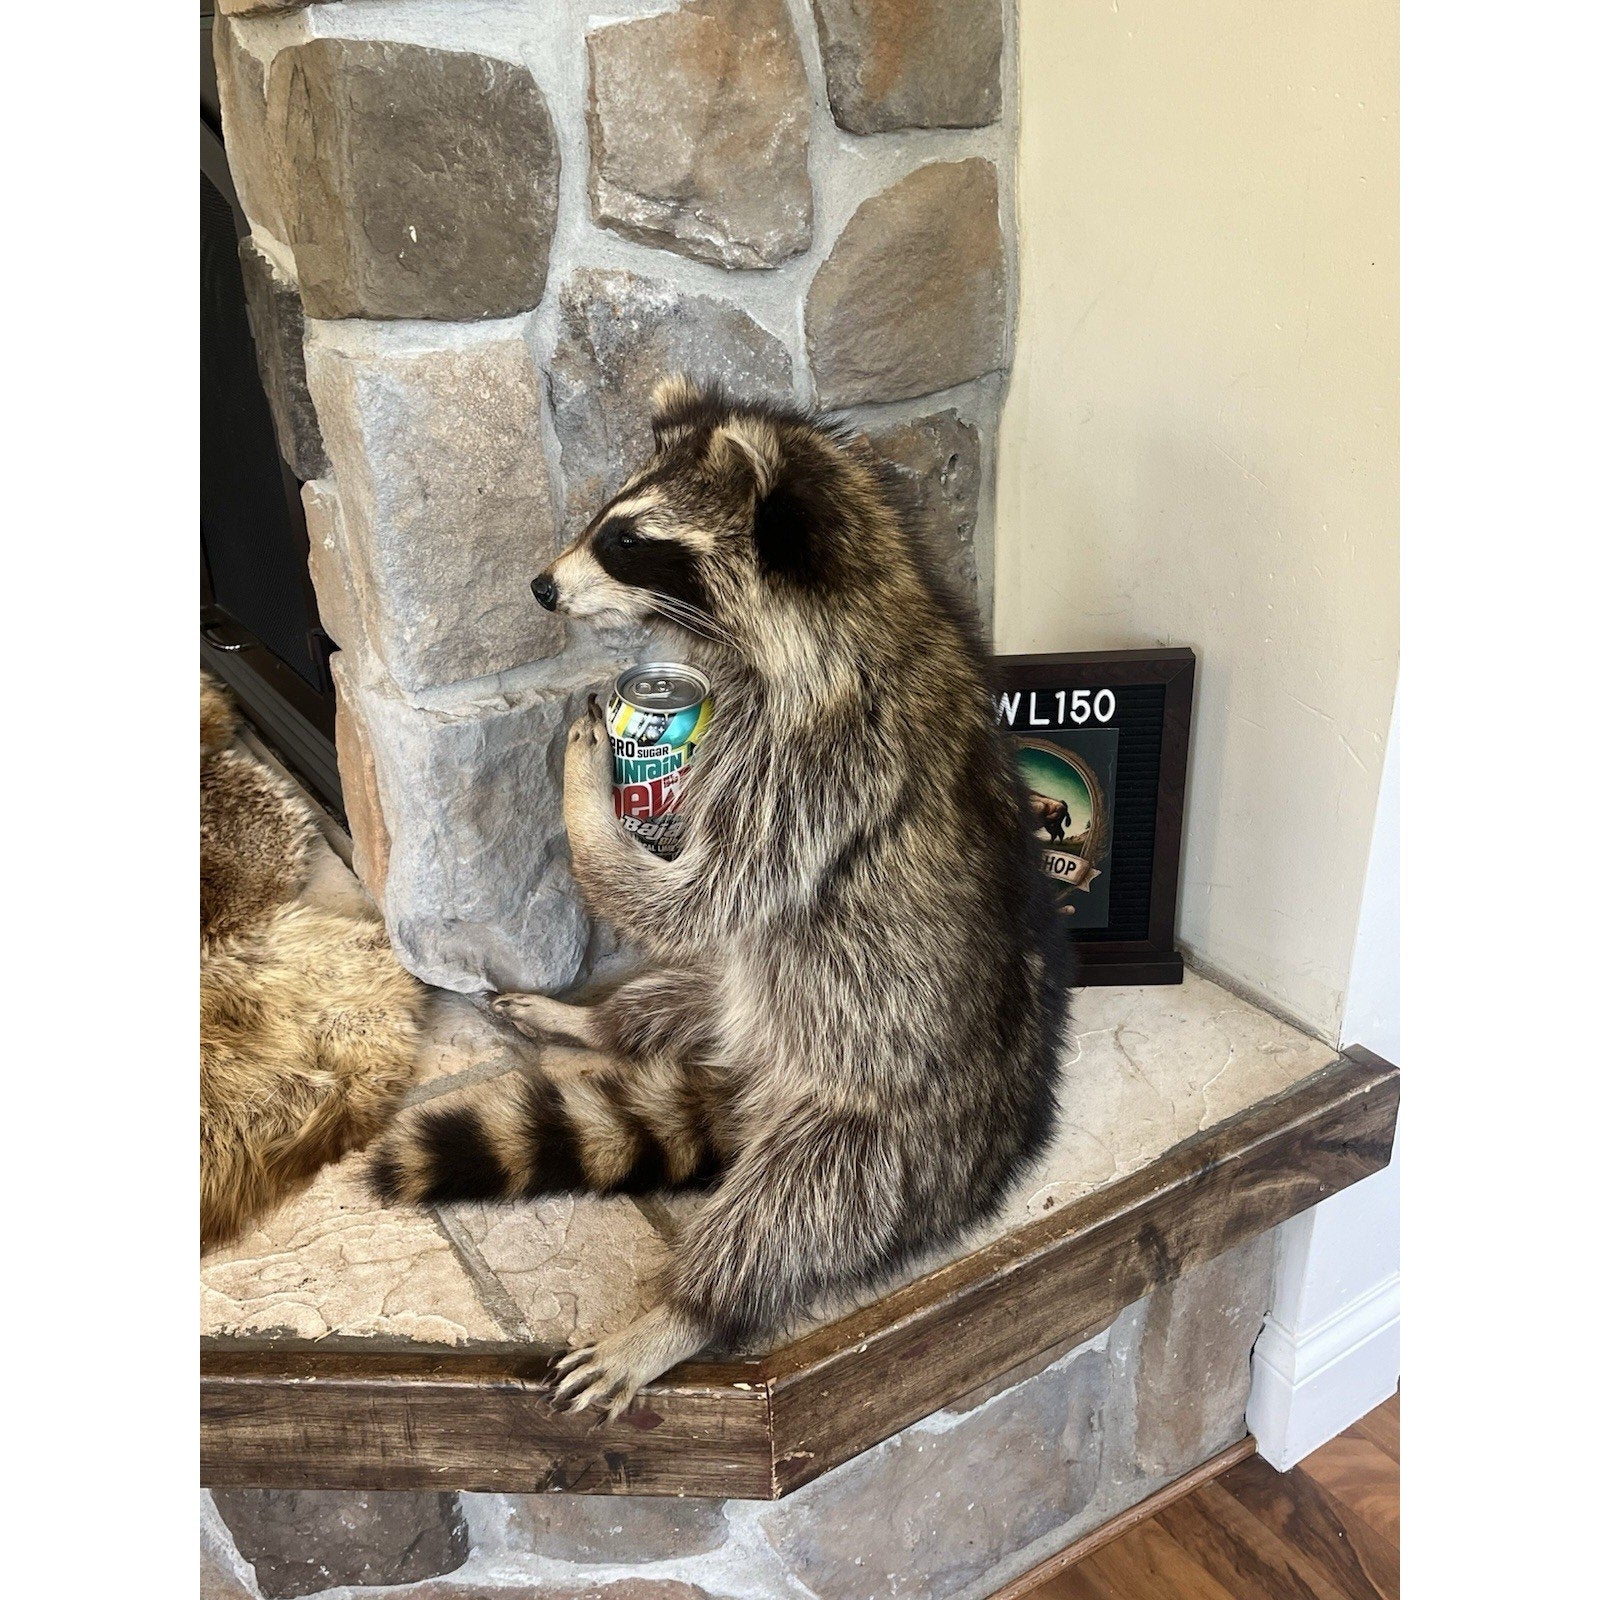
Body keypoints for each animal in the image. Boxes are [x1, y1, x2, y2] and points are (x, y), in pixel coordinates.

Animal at [371, 378, 1071, 1414]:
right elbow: (695, 915)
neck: (853, 606)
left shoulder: (825, 761)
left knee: (795, 1210)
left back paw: (687, 1309)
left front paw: (587, 795)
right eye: (602, 519)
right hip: (744, 1005)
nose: (542, 586)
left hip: (885, 1126)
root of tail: (753, 1091)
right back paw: (594, 1022)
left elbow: (701, 896)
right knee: (678, 995)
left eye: (628, 540)